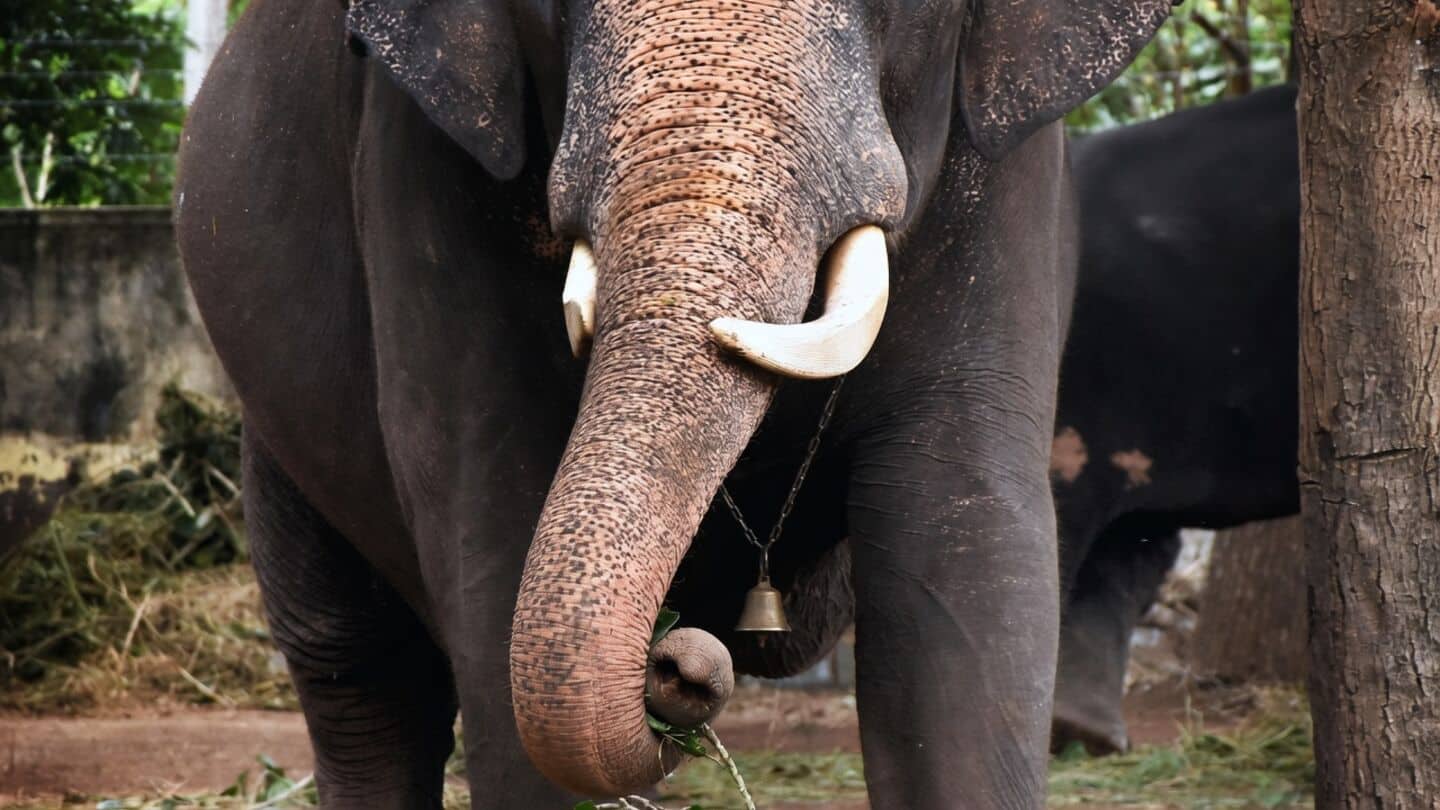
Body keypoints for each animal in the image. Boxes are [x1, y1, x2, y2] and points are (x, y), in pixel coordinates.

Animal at [174, 0, 1170, 806]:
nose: (677, 662)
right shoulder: (418, 167)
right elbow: (492, 542)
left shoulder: (1007, 185)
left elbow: (966, 569)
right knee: (360, 674)